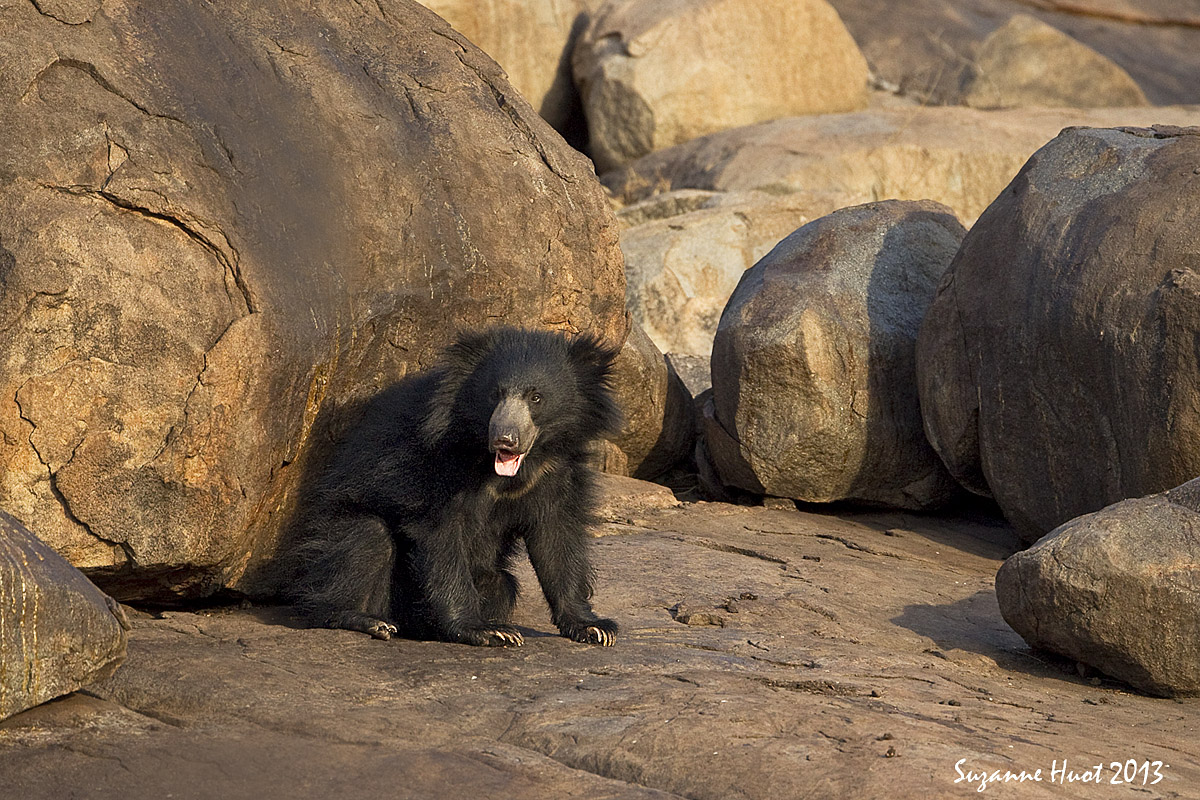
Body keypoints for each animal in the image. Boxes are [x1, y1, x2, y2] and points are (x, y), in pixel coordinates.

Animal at [289, 327, 623, 647]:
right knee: (366, 539)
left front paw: (595, 628)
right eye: (495, 394)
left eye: (536, 397)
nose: (505, 439)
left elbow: (556, 539)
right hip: (332, 539)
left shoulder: (554, 474)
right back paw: (366, 620)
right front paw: (488, 631)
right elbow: (440, 535)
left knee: (501, 585)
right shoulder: (434, 463)